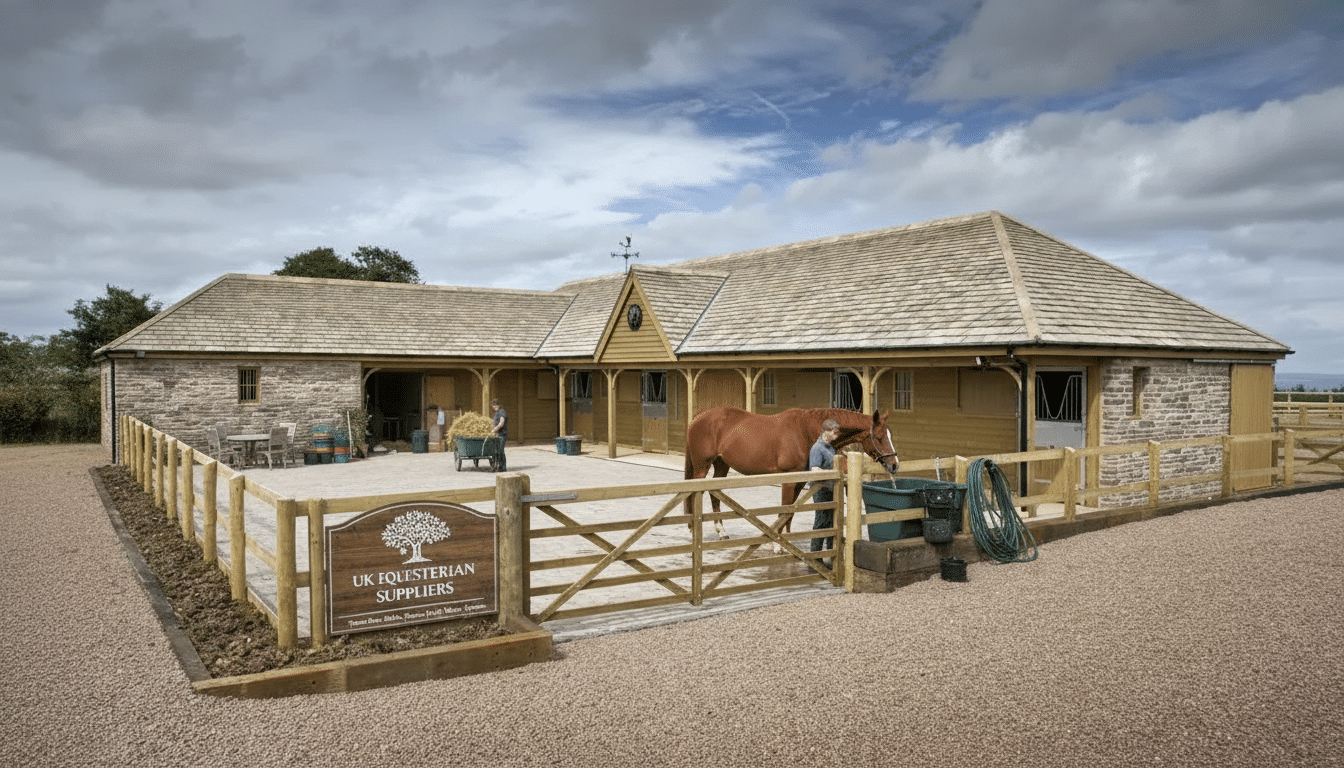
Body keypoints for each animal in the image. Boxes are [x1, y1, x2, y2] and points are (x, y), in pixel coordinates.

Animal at [683, 407, 900, 544]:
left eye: (890, 435)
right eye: (880, 437)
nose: (894, 465)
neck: (804, 431)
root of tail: (699, 416)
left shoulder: (800, 481)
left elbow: (790, 512)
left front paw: (787, 542)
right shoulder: (788, 479)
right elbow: (784, 510)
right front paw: (777, 545)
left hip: (721, 465)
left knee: (714, 492)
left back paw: (722, 532)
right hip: (702, 466)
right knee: (694, 492)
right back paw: (695, 530)